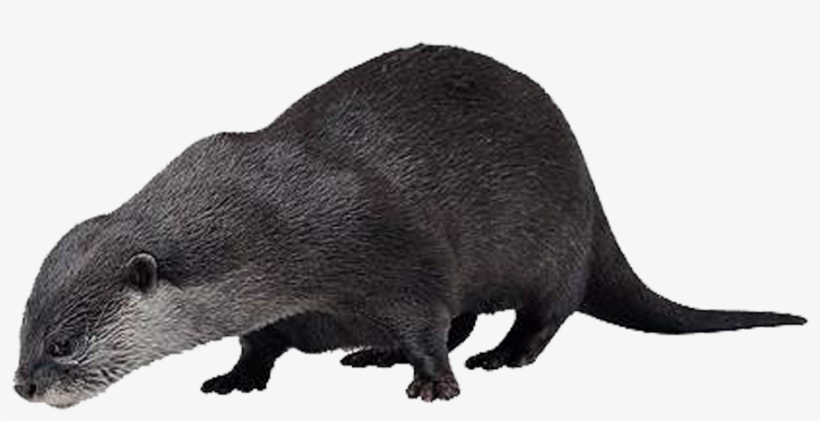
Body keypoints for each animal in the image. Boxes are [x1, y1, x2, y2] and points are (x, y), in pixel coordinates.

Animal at [15, 44, 806, 407]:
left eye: (64, 343)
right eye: (23, 330)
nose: (22, 387)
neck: (277, 229)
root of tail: (590, 187)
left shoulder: (392, 250)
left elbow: (427, 317)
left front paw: (435, 384)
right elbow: (259, 340)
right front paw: (237, 377)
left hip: (554, 241)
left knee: (546, 311)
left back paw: (501, 357)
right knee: (470, 314)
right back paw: (374, 354)